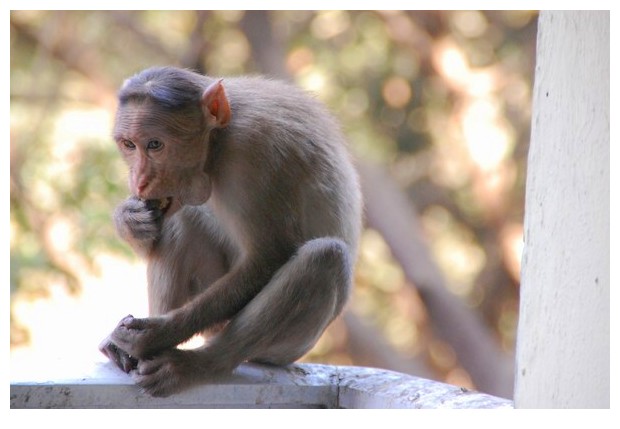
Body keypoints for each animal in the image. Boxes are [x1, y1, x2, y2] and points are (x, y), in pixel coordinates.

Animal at [98, 65, 364, 396]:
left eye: (155, 145)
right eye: (129, 145)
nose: (139, 180)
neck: (218, 145)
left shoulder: (255, 153)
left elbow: (269, 256)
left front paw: (158, 334)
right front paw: (129, 220)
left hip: (293, 345)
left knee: (324, 257)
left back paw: (198, 364)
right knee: (184, 221)